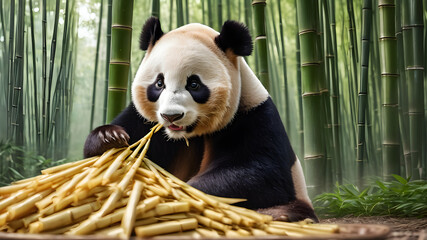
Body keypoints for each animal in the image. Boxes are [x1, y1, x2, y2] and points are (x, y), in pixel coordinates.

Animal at [84, 16, 318, 222]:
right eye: (159, 83)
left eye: (194, 84)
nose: (171, 116)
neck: (191, 134)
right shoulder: (146, 121)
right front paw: (109, 137)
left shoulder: (254, 115)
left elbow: (262, 175)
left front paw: (183, 190)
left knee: (288, 208)